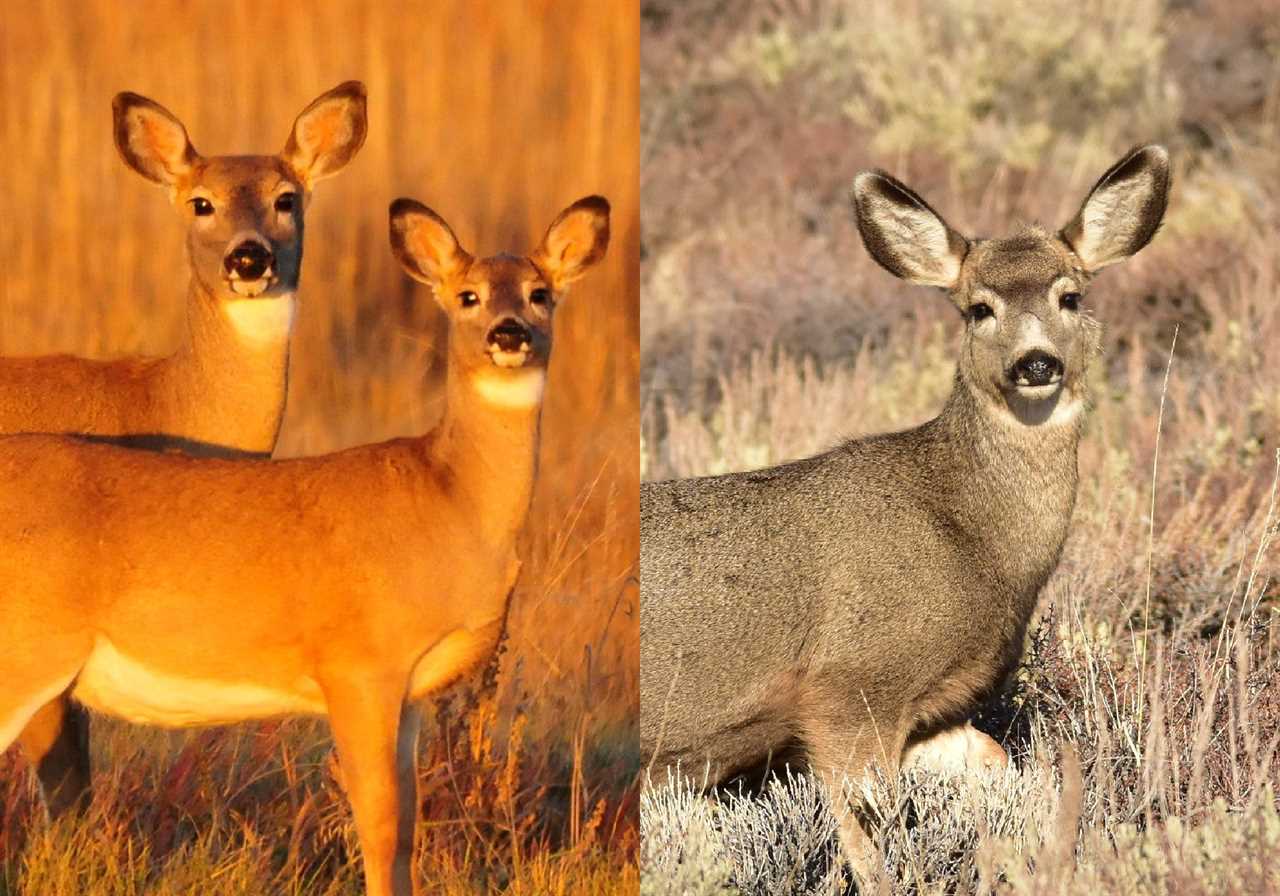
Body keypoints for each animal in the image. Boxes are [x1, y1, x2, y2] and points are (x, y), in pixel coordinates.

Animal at [0, 195, 611, 896]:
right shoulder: (358, 666)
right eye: (468, 295)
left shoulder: (407, 693)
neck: (450, 501)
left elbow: (407, 829)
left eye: (541, 293)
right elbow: (378, 823)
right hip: (23, 654)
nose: (509, 334)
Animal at [640, 145, 1172, 875]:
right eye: (979, 308)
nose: (1036, 363)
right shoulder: (850, 684)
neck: (968, 536)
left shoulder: (932, 706)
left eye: (1071, 295)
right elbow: (869, 843)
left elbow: (997, 768)